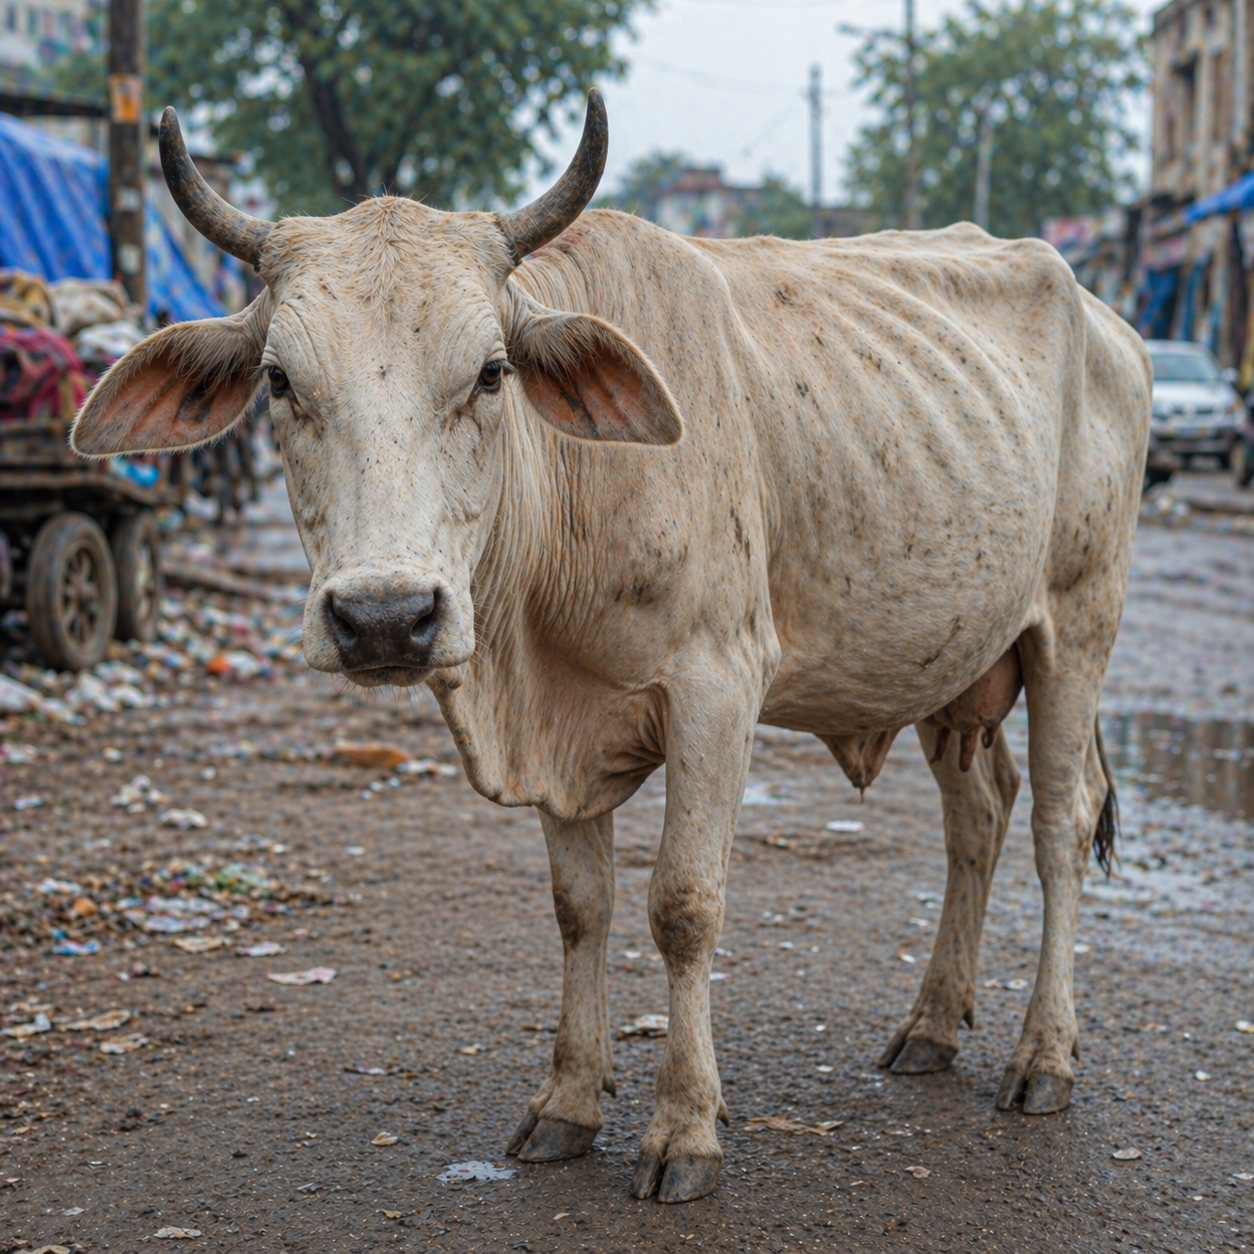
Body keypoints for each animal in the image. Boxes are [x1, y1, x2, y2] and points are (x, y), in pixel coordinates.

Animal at [72, 91, 1151, 1204]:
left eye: (491, 373)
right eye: (280, 380)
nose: (383, 617)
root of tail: (1105, 313)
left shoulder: (718, 689)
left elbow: (683, 905)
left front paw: (684, 1128)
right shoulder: (562, 731)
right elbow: (579, 907)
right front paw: (568, 1102)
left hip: (1078, 623)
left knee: (1060, 825)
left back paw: (1043, 1056)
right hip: (951, 659)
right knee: (977, 819)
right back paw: (933, 1024)